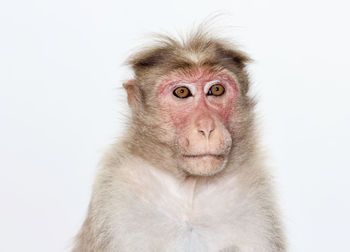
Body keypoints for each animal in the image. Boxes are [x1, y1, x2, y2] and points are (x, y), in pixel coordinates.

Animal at [72, 28, 286, 252]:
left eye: (216, 90)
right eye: (182, 92)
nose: (206, 127)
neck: (190, 190)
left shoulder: (254, 198)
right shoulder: (116, 196)